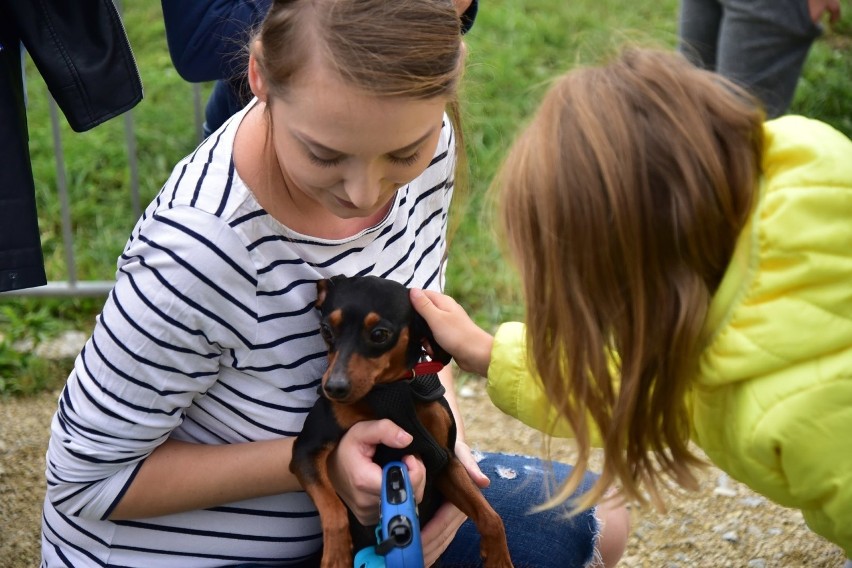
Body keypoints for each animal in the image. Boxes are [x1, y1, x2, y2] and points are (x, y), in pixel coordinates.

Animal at [292, 272, 512, 564]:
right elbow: (334, 509)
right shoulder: (305, 450)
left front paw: (499, 558)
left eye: (379, 334)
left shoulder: (443, 460)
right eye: (326, 330)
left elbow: (490, 516)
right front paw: (336, 556)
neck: (390, 391)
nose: (334, 389)